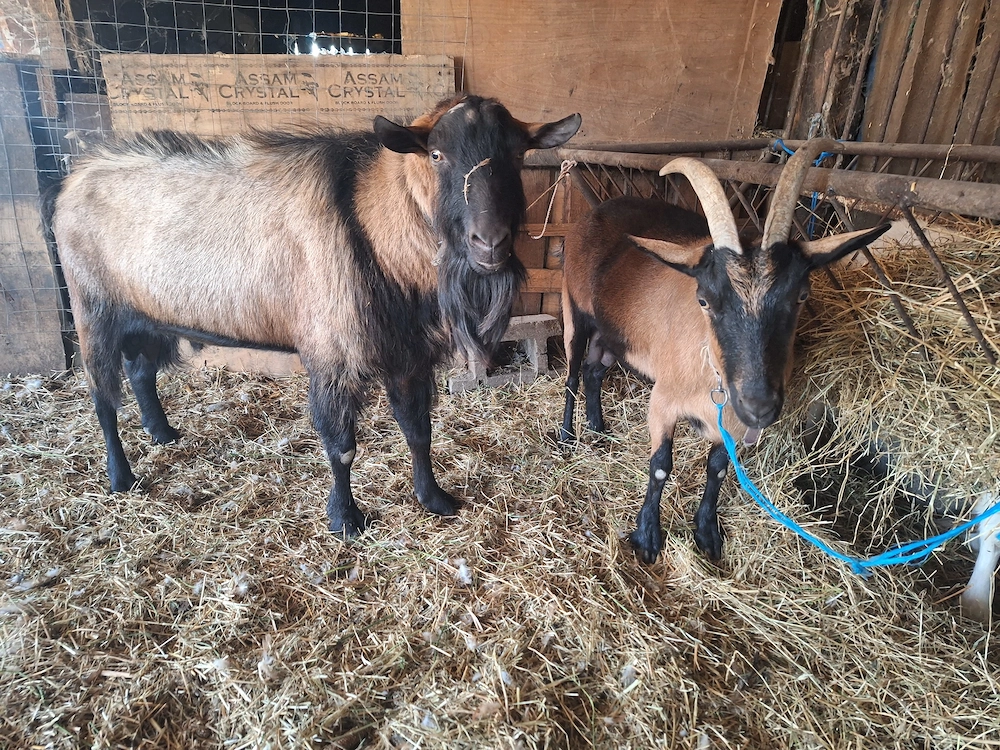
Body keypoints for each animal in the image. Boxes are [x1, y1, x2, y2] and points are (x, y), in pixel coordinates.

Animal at [52, 94, 581, 536]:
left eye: (518, 154)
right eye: (436, 154)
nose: (489, 244)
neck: (371, 225)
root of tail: (73, 180)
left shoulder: (407, 352)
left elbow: (418, 430)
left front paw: (434, 499)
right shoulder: (333, 355)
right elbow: (341, 446)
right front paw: (346, 519)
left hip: (145, 314)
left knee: (141, 371)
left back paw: (162, 434)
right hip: (93, 309)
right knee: (102, 396)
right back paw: (121, 476)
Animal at [560, 144, 889, 563]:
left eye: (801, 295)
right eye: (704, 299)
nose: (759, 407)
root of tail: (596, 212)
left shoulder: (729, 424)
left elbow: (716, 469)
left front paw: (707, 534)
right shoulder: (662, 402)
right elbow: (660, 466)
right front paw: (647, 537)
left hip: (613, 333)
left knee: (594, 370)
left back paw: (598, 428)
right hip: (573, 307)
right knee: (572, 373)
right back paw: (566, 437)